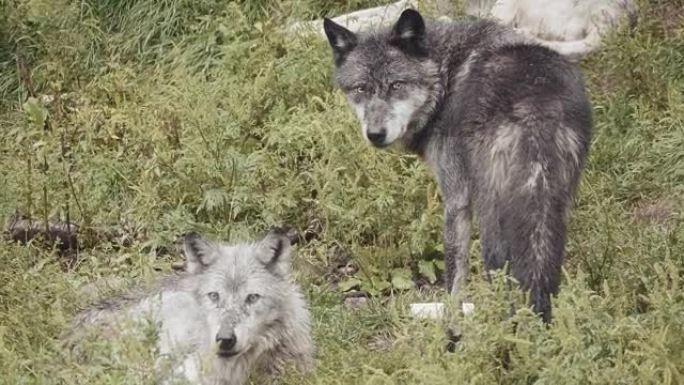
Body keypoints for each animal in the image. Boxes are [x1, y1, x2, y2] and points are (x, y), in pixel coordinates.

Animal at [324, 9, 592, 320]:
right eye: (361, 89)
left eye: (396, 85)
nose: (375, 134)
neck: (444, 77)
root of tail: (533, 107)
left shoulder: (456, 200)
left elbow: (454, 280)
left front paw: (449, 322)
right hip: (553, 211)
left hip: (491, 219)